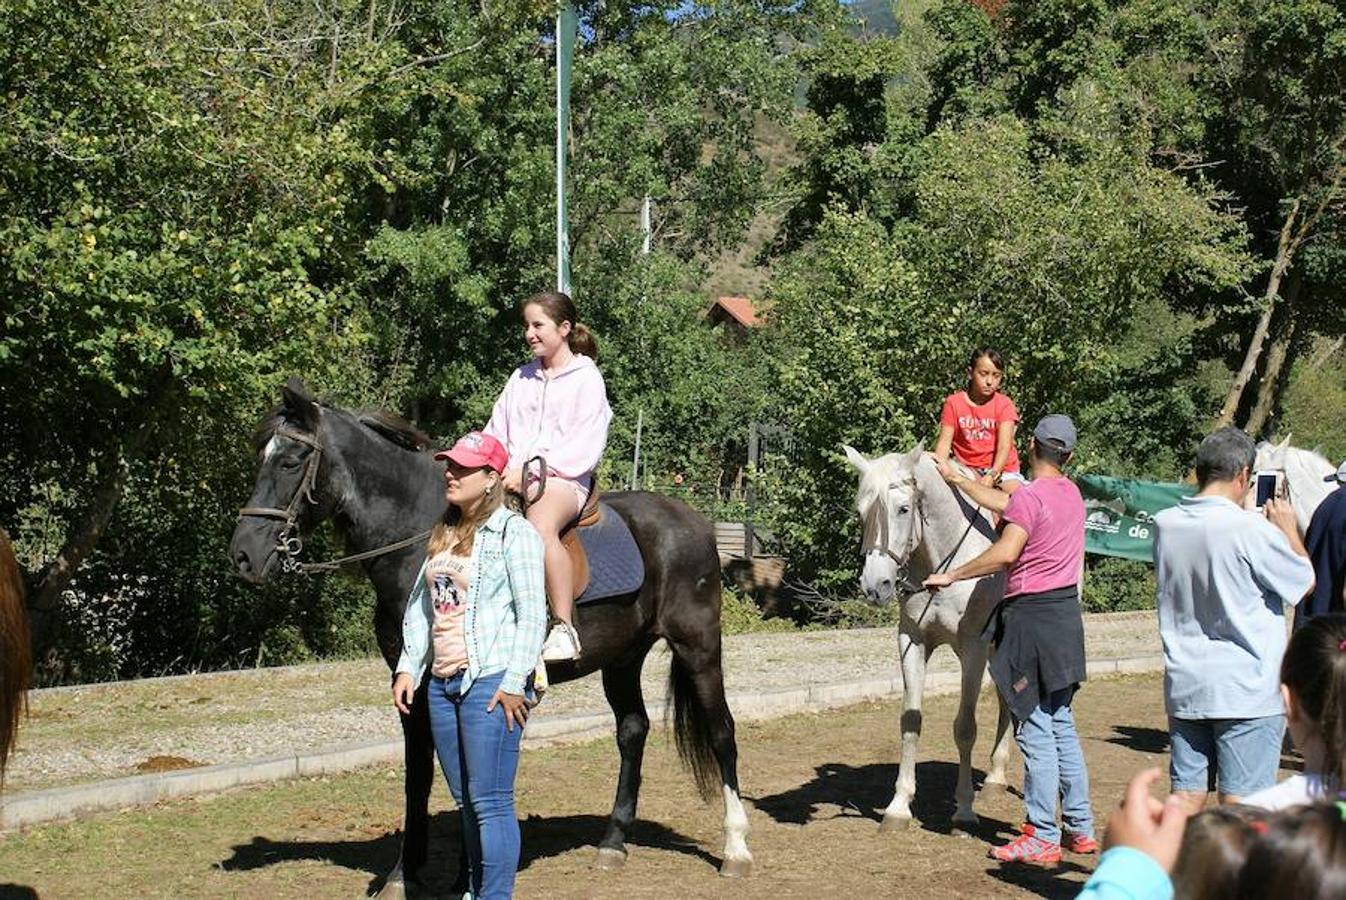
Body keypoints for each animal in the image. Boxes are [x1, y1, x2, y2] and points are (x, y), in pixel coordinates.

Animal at [231, 382, 759, 898]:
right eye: (261, 456)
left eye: (290, 461)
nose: (243, 555)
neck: (428, 542)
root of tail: (695, 523)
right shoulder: (411, 683)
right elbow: (419, 775)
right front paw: (405, 874)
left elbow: (461, 773)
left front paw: (466, 872)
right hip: (622, 658)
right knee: (633, 730)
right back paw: (612, 842)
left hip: (698, 646)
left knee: (722, 732)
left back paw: (735, 848)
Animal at [839, 441, 1012, 828]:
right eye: (861, 513)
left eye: (904, 509)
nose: (875, 586)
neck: (944, 562)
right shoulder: (912, 641)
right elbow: (911, 720)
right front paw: (899, 806)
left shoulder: (974, 648)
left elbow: (965, 727)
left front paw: (964, 808)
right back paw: (995, 777)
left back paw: (996, 777)